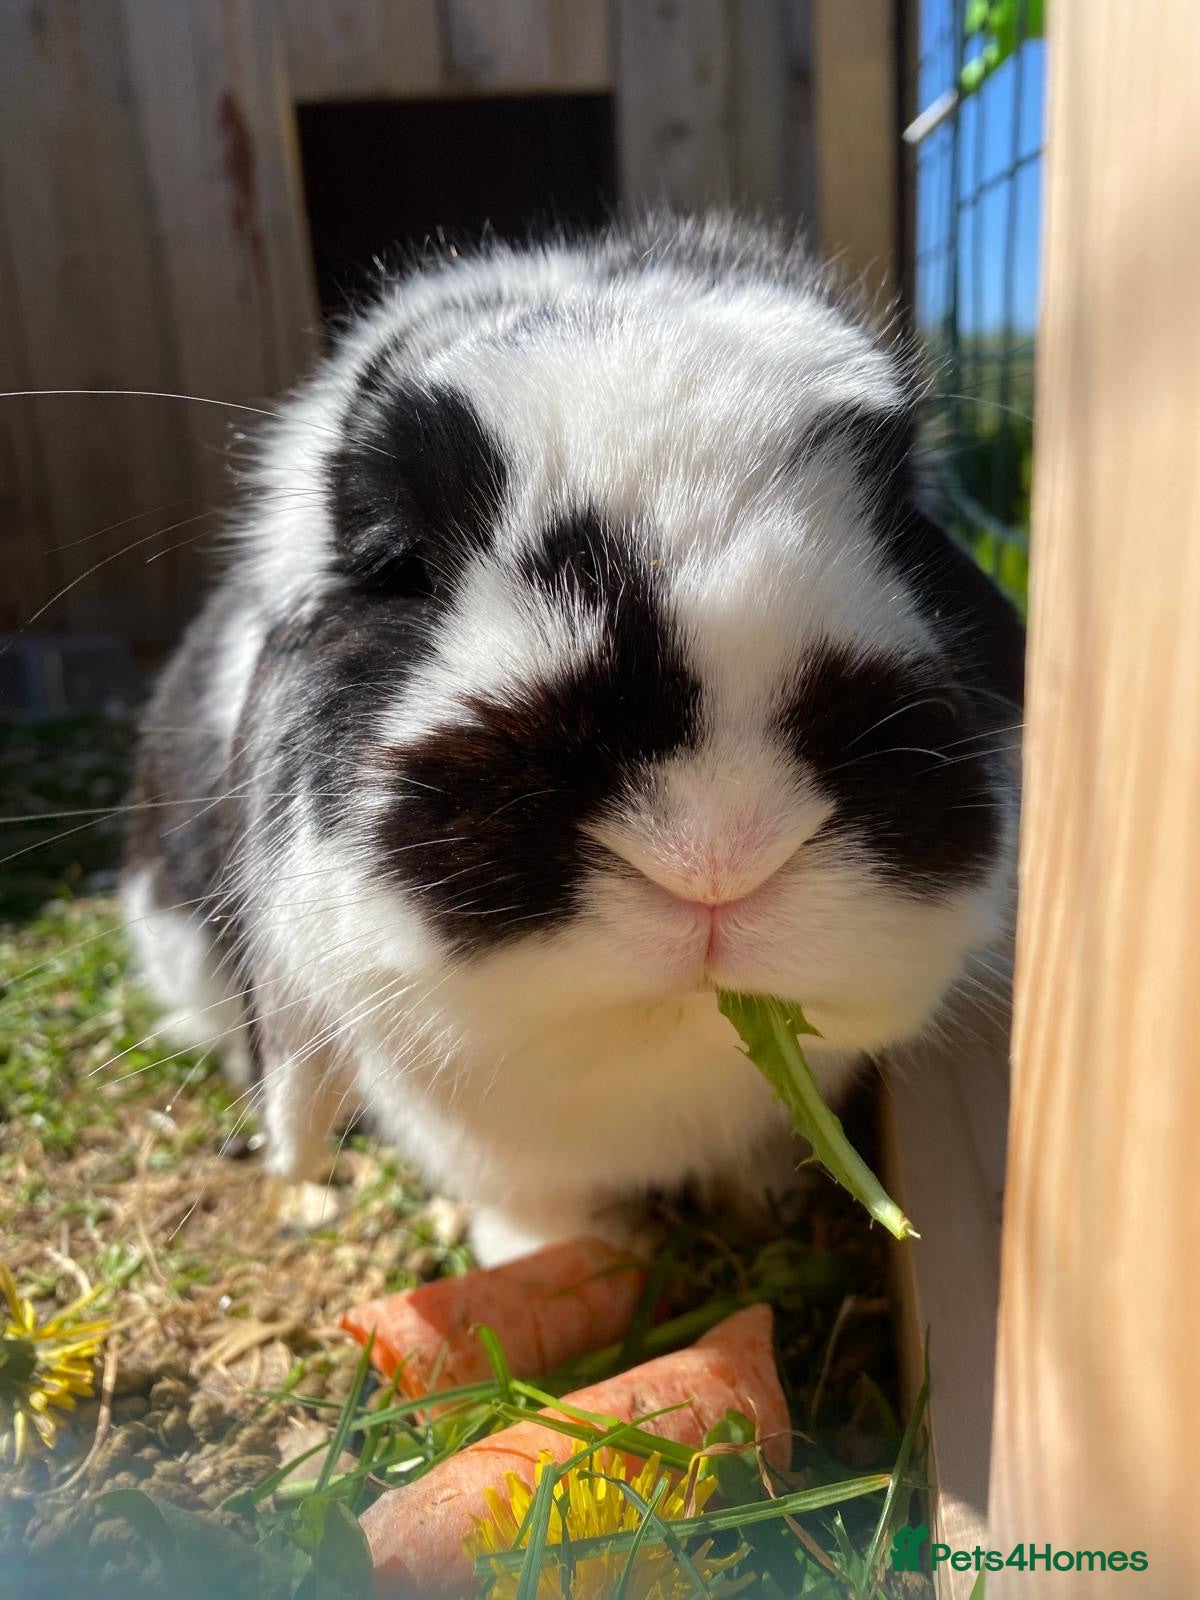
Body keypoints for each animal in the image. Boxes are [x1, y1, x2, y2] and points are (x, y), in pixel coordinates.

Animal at [123, 214, 1023, 1265]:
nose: (718, 851)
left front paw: (764, 1206)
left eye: (903, 524)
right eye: (401, 561)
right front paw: (556, 1262)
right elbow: (531, 1207)